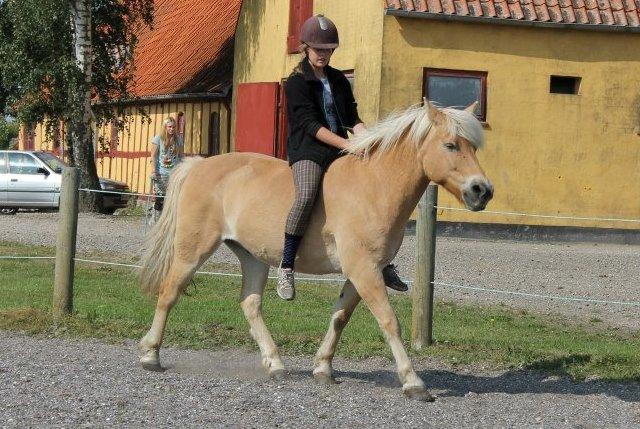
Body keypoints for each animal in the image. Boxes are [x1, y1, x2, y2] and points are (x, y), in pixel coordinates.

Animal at [138, 101, 492, 402]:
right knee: (169, 293)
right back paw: (151, 355)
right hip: (193, 249)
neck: (374, 186)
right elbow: (389, 322)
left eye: (474, 147)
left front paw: (323, 367)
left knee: (250, 304)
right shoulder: (364, 270)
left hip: (253, 257)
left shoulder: (364, 272)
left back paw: (276, 364)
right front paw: (413, 383)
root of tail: (199, 165)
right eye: (451, 145)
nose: (482, 191)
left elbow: (340, 317)